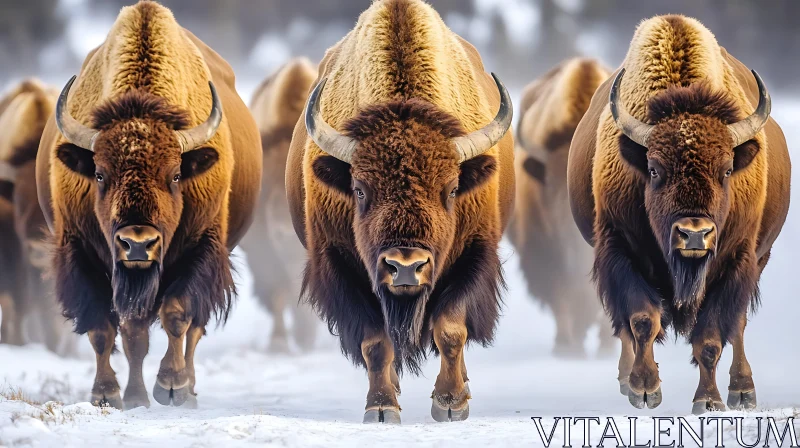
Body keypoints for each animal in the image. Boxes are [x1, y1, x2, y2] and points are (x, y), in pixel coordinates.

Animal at [37, 1, 260, 412]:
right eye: (99, 174)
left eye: (176, 175)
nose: (138, 243)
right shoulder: (82, 253)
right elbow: (106, 329)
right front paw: (109, 395)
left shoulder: (201, 249)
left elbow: (177, 315)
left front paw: (171, 387)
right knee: (134, 333)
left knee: (193, 330)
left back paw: (188, 391)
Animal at [286, 0, 512, 424]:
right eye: (359, 190)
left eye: (451, 189)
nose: (406, 266)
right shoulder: (341, 264)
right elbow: (375, 341)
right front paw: (381, 407)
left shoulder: (473, 253)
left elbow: (450, 328)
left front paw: (451, 403)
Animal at [568, 14, 788, 412]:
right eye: (654, 169)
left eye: (727, 170)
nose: (694, 234)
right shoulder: (620, 248)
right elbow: (642, 319)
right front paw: (644, 389)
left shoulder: (736, 259)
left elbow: (711, 337)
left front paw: (709, 401)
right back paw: (627, 380)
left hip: (759, 257)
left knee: (739, 324)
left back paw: (743, 391)